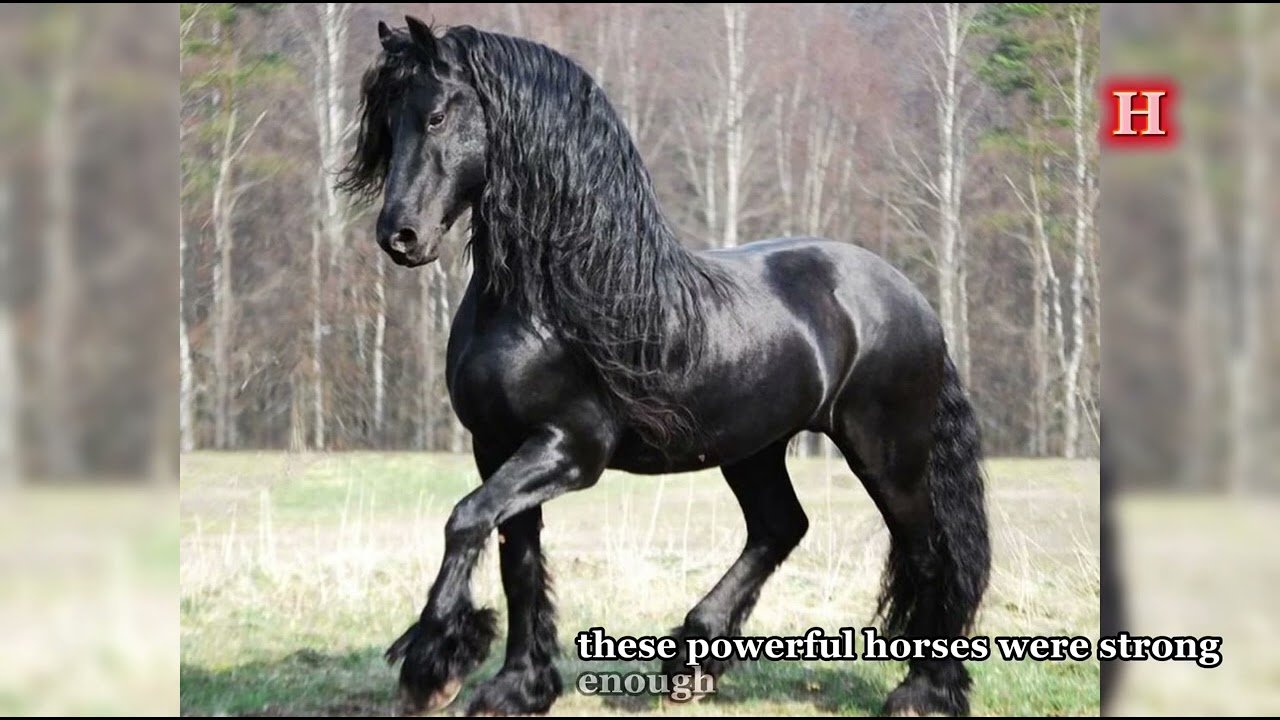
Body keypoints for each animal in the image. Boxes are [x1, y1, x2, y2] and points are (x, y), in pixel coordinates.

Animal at [337, 16, 992, 718]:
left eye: (435, 116)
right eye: (386, 124)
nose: (399, 236)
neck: (551, 301)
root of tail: (910, 296)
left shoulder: (569, 450)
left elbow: (464, 521)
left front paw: (432, 667)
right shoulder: (496, 447)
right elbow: (517, 557)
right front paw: (518, 685)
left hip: (886, 453)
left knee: (928, 555)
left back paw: (923, 691)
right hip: (754, 448)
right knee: (780, 527)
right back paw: (693, 658)